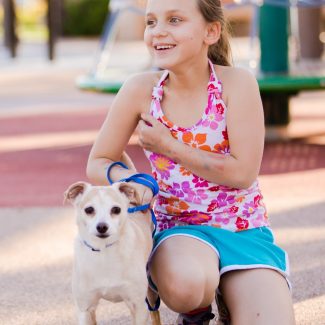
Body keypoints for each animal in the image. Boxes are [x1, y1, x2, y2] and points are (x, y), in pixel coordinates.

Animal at [65, 181, 161, 322]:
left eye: (116, 209)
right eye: (89, 210)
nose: (102, 227)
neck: (104, 251)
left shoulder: (139, 306)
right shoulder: (85, 309)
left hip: (150, 294)